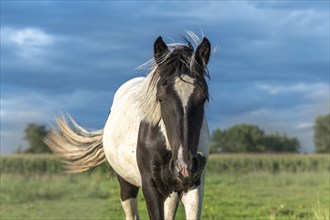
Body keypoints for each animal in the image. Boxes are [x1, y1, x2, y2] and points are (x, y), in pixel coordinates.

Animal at [45, 33, 211, 220]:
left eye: (203, 97)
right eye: (160, 98)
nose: (184, 166)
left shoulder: (194, 186)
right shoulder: (151, 187)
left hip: (172, 191)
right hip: (126, 183)